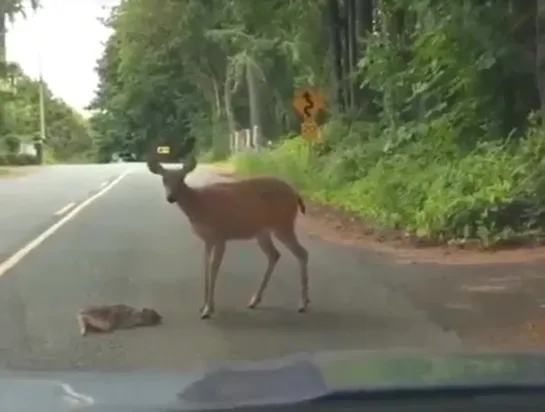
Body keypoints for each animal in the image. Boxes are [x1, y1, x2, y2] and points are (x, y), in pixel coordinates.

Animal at [146, 147, 310, 318]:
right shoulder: (207, 239)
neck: (199, 205)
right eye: (164, 179)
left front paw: (208, 309)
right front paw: (204, 306)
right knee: (274, 255)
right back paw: (254, 301)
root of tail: (295, 193)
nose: (171, 197)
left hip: (283, 223)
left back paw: (303, 304)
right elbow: (205, 267)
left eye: (182, 179)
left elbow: (213, 269)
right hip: (262, 231)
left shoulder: (220, 236)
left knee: (302, 253)